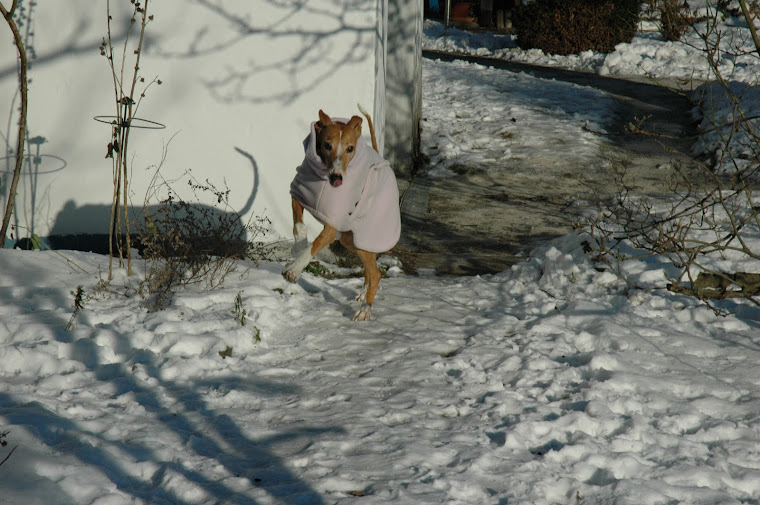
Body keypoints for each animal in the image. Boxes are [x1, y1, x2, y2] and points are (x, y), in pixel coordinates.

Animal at [280, 104, 398, 320]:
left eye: (350, 148)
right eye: (327, 145)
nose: (337, 178)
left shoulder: (332, 226)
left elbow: (314, 246)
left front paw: (294, 269)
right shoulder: (298, 195)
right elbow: (299, 227)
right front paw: (297, 248)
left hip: (364, 236)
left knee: (376, 273)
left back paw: (365, 310)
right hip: (351, 240)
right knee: (370, 270)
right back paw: (363, 293)